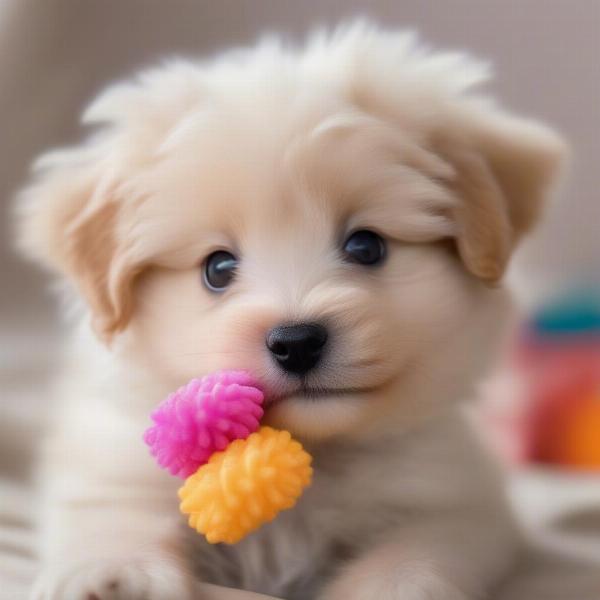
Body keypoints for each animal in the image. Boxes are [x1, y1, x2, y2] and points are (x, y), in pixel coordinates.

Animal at [15, 21, 568, 600]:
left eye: (366, 246)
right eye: (217, 268)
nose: (296, 341)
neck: (313, 449)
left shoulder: (452, 505)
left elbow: (414, 558)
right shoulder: (112, 467)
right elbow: (112, 517)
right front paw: (112, 574)